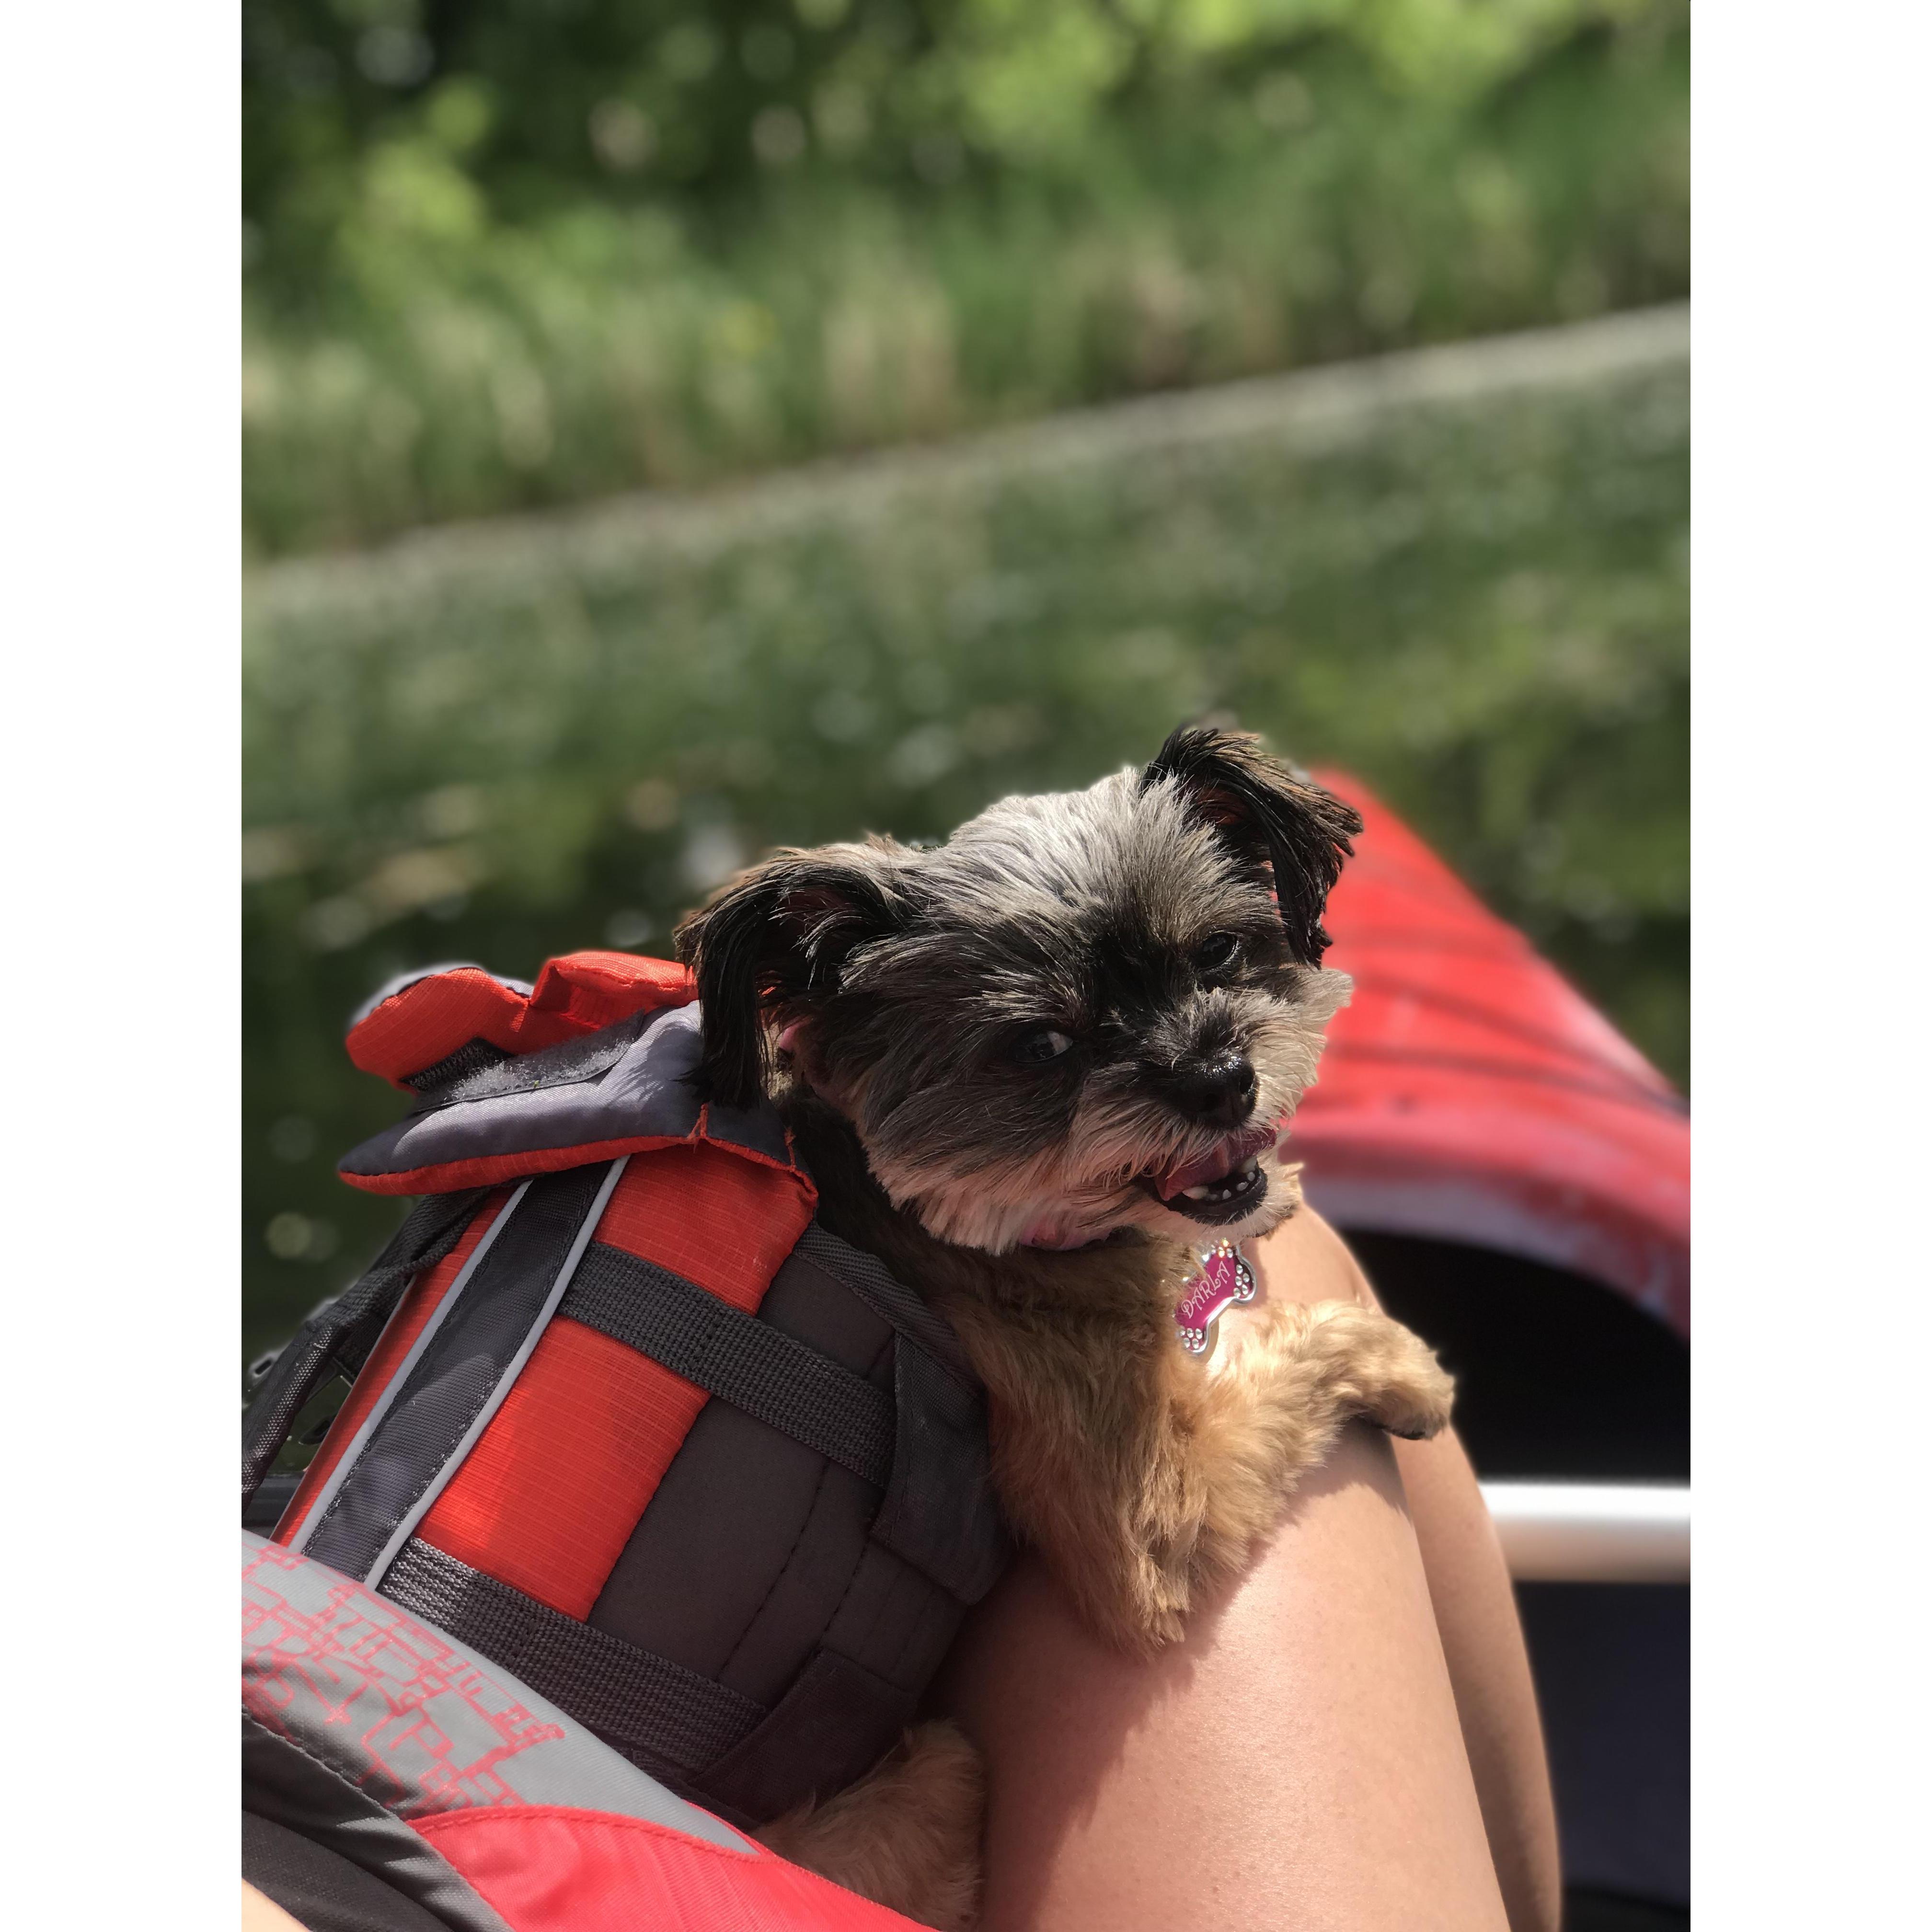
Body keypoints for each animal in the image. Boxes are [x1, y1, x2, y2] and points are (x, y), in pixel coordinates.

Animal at [676, 726, 1453, 1932]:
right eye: (1041, 1047)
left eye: (1219, 952)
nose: (1219, 1082)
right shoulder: (1152, 1512)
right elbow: (1295, 1355)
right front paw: (1404, 1365)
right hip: (937, 1777)